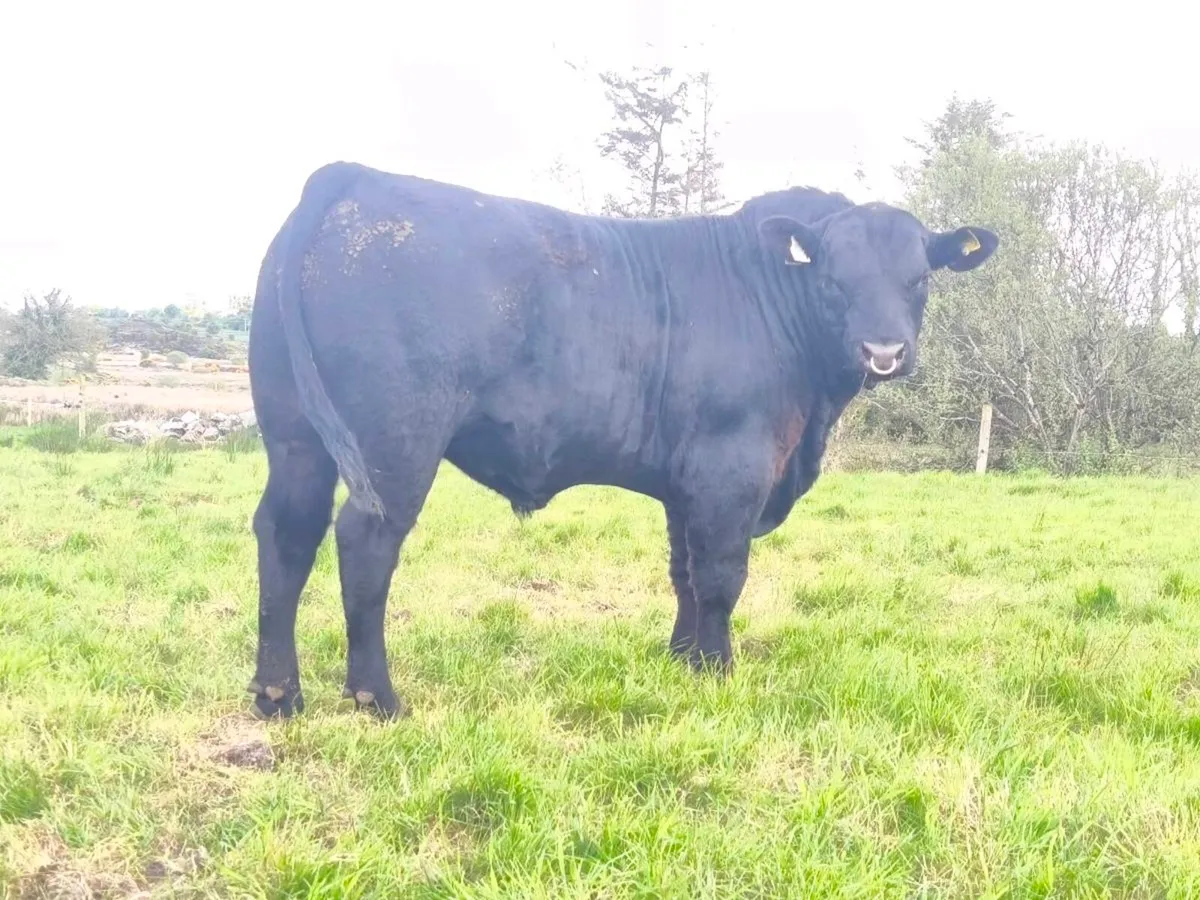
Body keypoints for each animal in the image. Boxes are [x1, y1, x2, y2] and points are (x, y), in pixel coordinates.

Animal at [245, 161, 998, 720]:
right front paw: (718, 672)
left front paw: (682, 660)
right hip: (394, 442)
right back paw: (376, 696)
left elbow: (684, 572)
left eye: (919, 278)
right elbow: (721, 575)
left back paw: (278, 693)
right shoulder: (732, 468)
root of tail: (358, 176)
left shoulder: (686, 482)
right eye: (835, 278)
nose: (885, 352)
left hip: (296, 435)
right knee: (365, 542)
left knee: (287, 530)